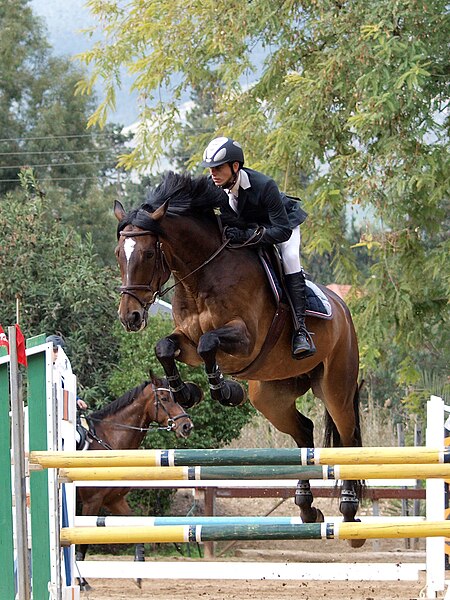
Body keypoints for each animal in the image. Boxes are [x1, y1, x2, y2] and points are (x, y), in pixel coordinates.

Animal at [75, 370, 193, 584]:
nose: (187, 426)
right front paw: (82, 582)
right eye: (164, 398)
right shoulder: (91, 502)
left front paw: (138, 572)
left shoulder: (114, 500)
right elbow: (83, 541)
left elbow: (136, 527)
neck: (110, 440)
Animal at [113, 170, 366, 548]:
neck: (201, 276)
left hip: (336, 387)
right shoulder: (185, 340)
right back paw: (307, 510)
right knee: (304, 430)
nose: (129, 317)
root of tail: (344, 311)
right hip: (271, 395)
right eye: (119, 253)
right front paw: (186, 391)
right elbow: (165, 348)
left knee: (347, 440)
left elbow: (208, 343)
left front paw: (223, 390)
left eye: (145, 254)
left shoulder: (244, 340)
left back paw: (349, 514)